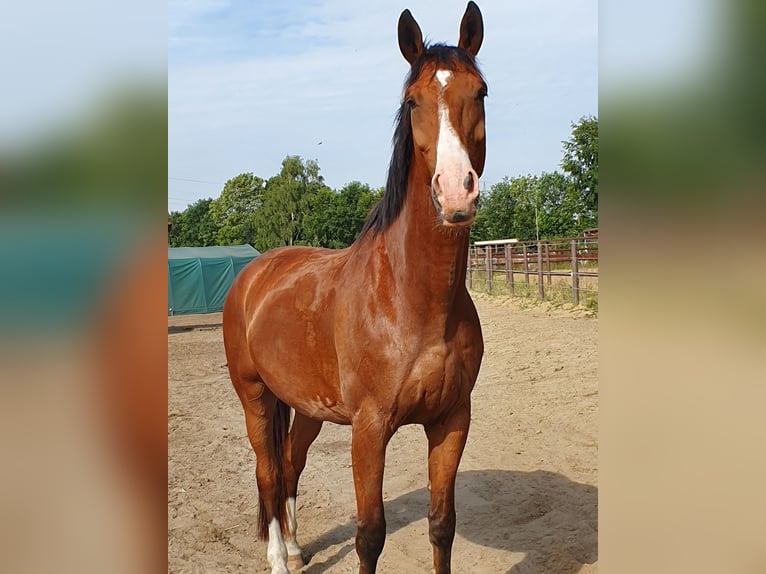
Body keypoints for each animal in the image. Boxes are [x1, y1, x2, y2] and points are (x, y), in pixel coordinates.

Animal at [224, 2, 486, 572]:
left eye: (480, 92)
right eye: (412, 102)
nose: (457, 191)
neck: (412, 300)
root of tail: (254, 274)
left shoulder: (452, 420)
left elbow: (443, 525)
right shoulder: (369, 430)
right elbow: (370, 535)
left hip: (305, 406)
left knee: (291, 464)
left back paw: (296, 548)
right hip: (255, 396)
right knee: (267, 471)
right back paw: (278, 557)